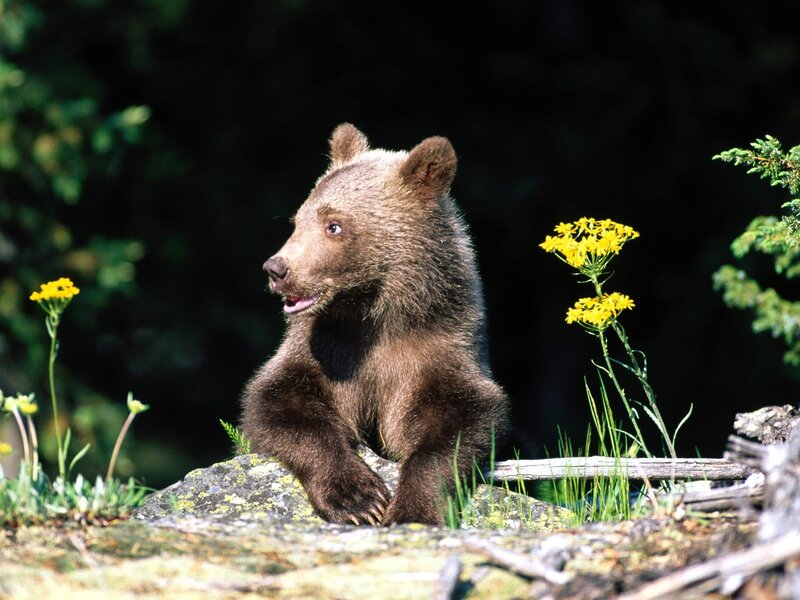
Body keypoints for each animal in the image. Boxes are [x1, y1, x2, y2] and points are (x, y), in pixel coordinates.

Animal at [241, 123, 508, 526]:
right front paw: (358, 499)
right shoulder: (328, 349)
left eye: (333, 225)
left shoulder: (439, 345)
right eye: (297, 221)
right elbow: (281, 401)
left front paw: (410, 509)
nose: (277, 269)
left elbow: (456, 421)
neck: (376, 314)